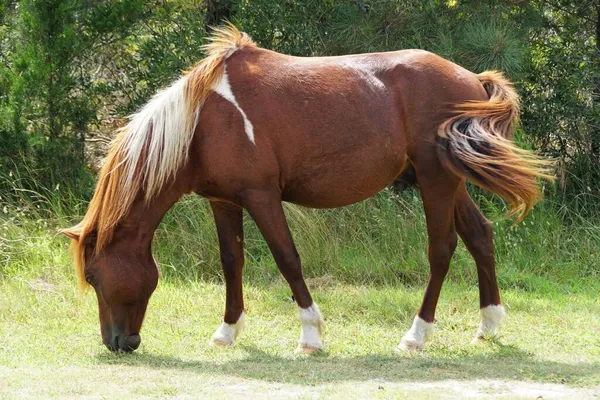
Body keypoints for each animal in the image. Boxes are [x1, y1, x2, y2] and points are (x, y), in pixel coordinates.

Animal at [62, 23, 552, 354]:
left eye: (95, 276)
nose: (117, 342)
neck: (204, 121)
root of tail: (471, 77)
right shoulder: (223, 201)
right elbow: (232, 262)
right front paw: (227, 331)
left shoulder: (261, 197)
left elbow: (288, 260)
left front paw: (311, 335)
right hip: (449, 182)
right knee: (480, 236)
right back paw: (489, 324)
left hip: (436, 180)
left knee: (442, 248)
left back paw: (416, 335)